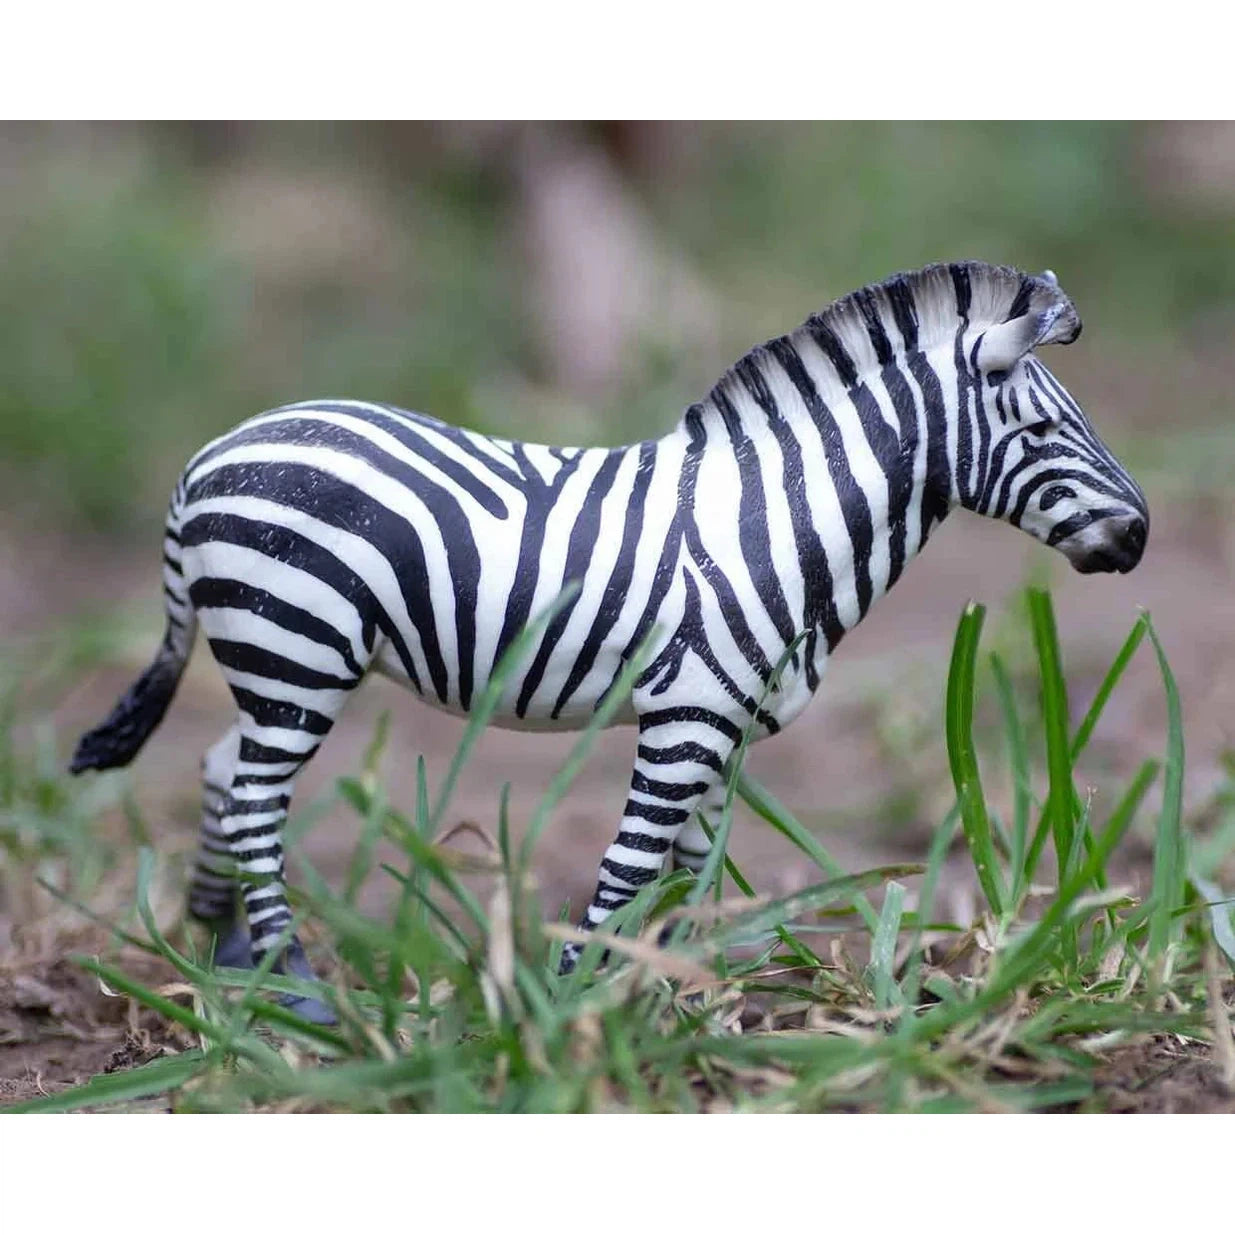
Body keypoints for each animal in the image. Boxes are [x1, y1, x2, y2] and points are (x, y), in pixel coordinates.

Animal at [70, 261, 1148, 1022]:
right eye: (1044, 432)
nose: (1136, 536)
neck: (773, 521)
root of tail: (208, 457)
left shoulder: (725, 725)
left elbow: (695, 868)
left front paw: (695, 998)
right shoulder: (688, 715)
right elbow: (632, 863)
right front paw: (570, 999)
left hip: (276, 663)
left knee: (223, 766)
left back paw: (226, 951)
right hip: (297, 644)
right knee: (257, 798)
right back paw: (292, 984)